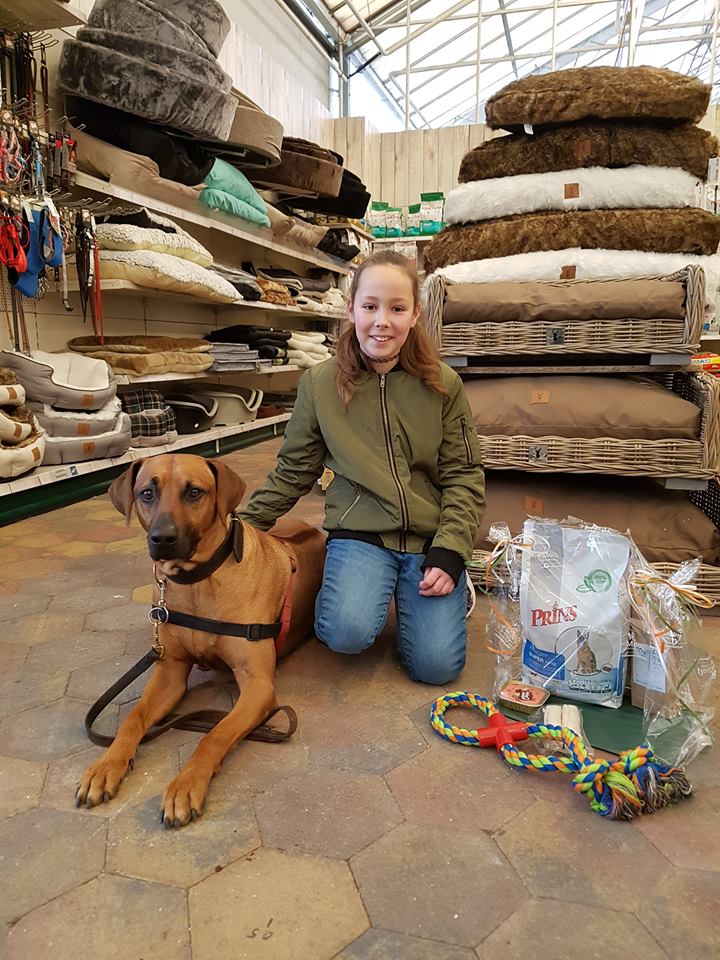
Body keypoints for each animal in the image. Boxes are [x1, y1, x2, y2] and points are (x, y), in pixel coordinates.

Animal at [74, 454, 326, 828]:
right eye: (146, 493)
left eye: (194, 492)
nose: (162, 539)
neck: (197, 581)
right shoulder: (170, 671)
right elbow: (133, 718)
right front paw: (106, 766)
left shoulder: (258, 685)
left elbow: (215, 733)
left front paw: (185, 786)